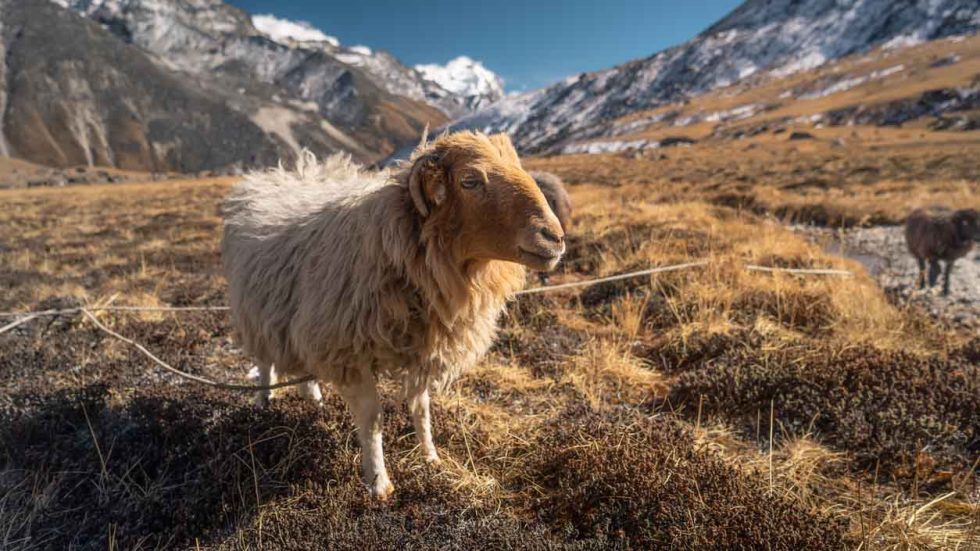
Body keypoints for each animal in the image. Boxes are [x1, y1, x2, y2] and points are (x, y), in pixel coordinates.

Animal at [221, 131, 565, 498]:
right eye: (470, 180)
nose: (555, 237)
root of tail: (283, 174)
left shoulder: (423, 348)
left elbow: (422, 410)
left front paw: (430, 458)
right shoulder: (349, 352)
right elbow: (372, 420)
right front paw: (378, 483)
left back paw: (313, 401)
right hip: (258, 314)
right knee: (265, 362)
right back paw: (264, 404)